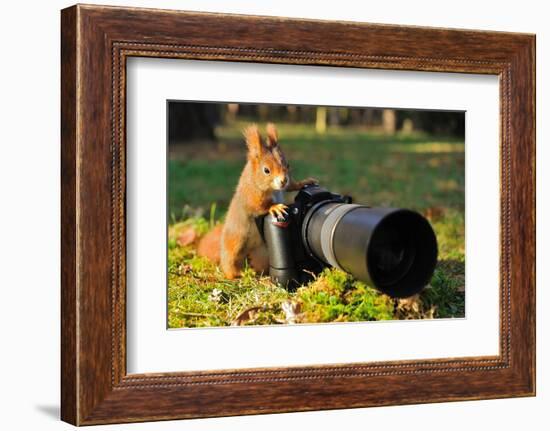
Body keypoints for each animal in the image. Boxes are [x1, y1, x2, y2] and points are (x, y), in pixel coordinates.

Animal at [198, 124, 320, 280]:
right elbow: (257, 206)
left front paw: (304, 182)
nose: (283, 180)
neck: (271, 189)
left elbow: (290, 186)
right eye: (266, 170)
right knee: (229, 262)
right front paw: (274, 207)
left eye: (288, 164)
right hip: (235, 242)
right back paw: (237, 275)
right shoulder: (251, 193)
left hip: (261, 252)